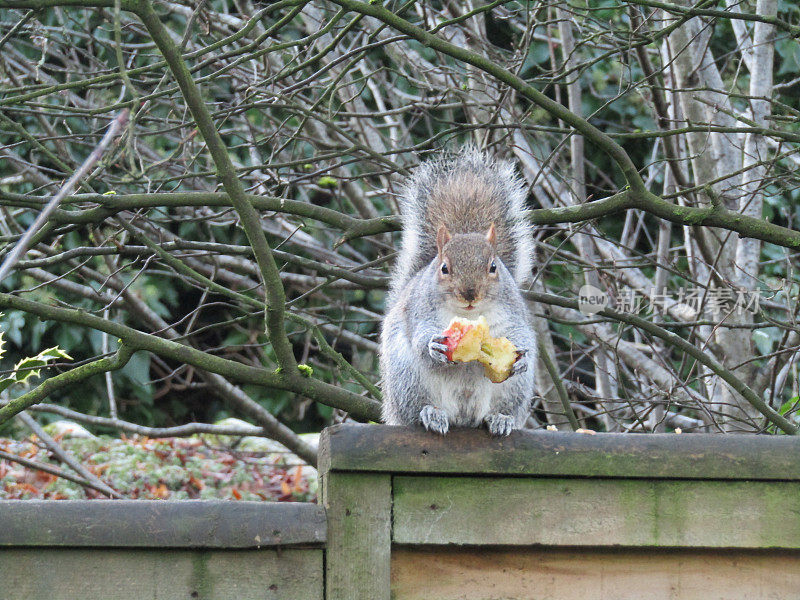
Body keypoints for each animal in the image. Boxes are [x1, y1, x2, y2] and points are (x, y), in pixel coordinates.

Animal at [382, 148, 536, 434]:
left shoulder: (513, 312)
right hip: (407, 379)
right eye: (444, 268)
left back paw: (501, 418)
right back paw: (431, 414)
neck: (470, 316)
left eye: (493, 266)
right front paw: (433, 346)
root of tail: (464, 418)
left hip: (514, 390)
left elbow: (521, 333)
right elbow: (420, 335)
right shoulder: (420, 310)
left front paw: (521, 358)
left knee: (502, 409)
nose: (469, 294)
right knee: (416, 410)